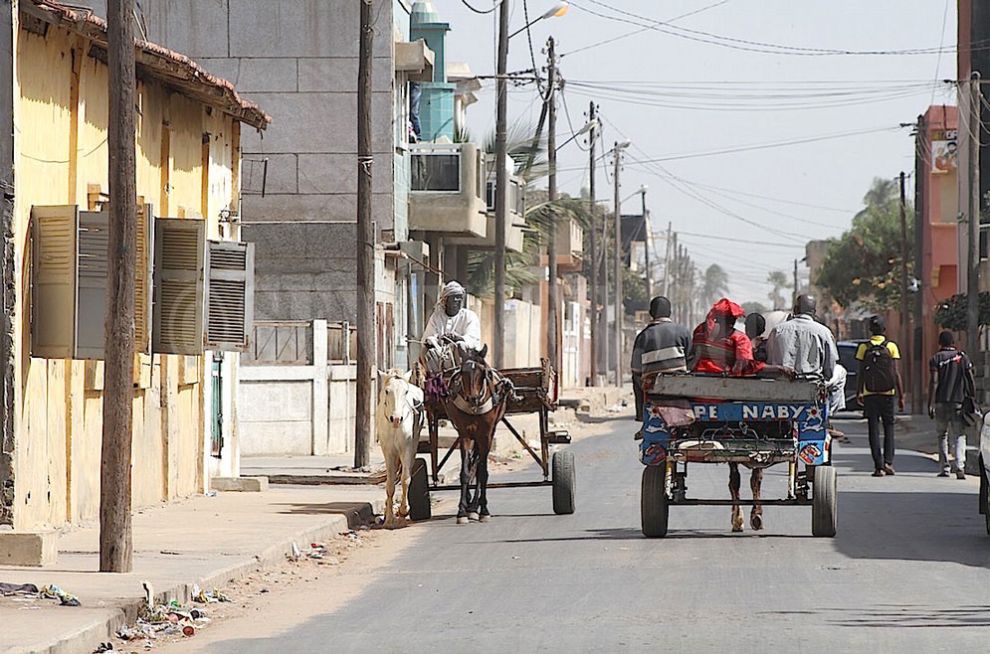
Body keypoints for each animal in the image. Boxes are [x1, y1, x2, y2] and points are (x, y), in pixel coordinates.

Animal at [378, 372, 424, 532]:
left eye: (406, 391)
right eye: (387, 391)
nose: (397, 419)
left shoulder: (407, 448)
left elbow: (405, 479)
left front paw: (403, 511)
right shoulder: (388, 451)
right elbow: (390, 483)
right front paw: (388, 518)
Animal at [448, 346, 516, 524]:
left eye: (483, 372)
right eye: (462, 372)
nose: (472, 398)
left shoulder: (486, 435)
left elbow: (483, 473)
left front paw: (484, 510)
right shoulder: (464, 434)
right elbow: (465, 472)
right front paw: (461, 511)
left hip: (487, 434)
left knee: (478, 468)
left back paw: (474, 507)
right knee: (473, 465)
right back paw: (469, 506)